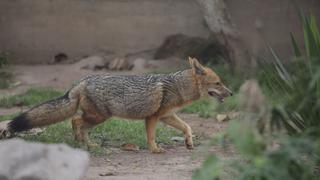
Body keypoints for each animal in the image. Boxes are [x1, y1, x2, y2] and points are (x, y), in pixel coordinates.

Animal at [7, 57, 232, 153]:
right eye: (218, 83)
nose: (231, 93)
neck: (178, 86)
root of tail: (82, 81)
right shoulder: (153, 117)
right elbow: (151, 136)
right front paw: (155, 150)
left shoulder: (167, 115)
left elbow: (188, 127)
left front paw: (189, 143)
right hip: (99, 117)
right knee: (75, 119)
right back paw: (78, 140)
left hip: (97, 118)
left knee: (80, 124)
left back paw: (86, 143)